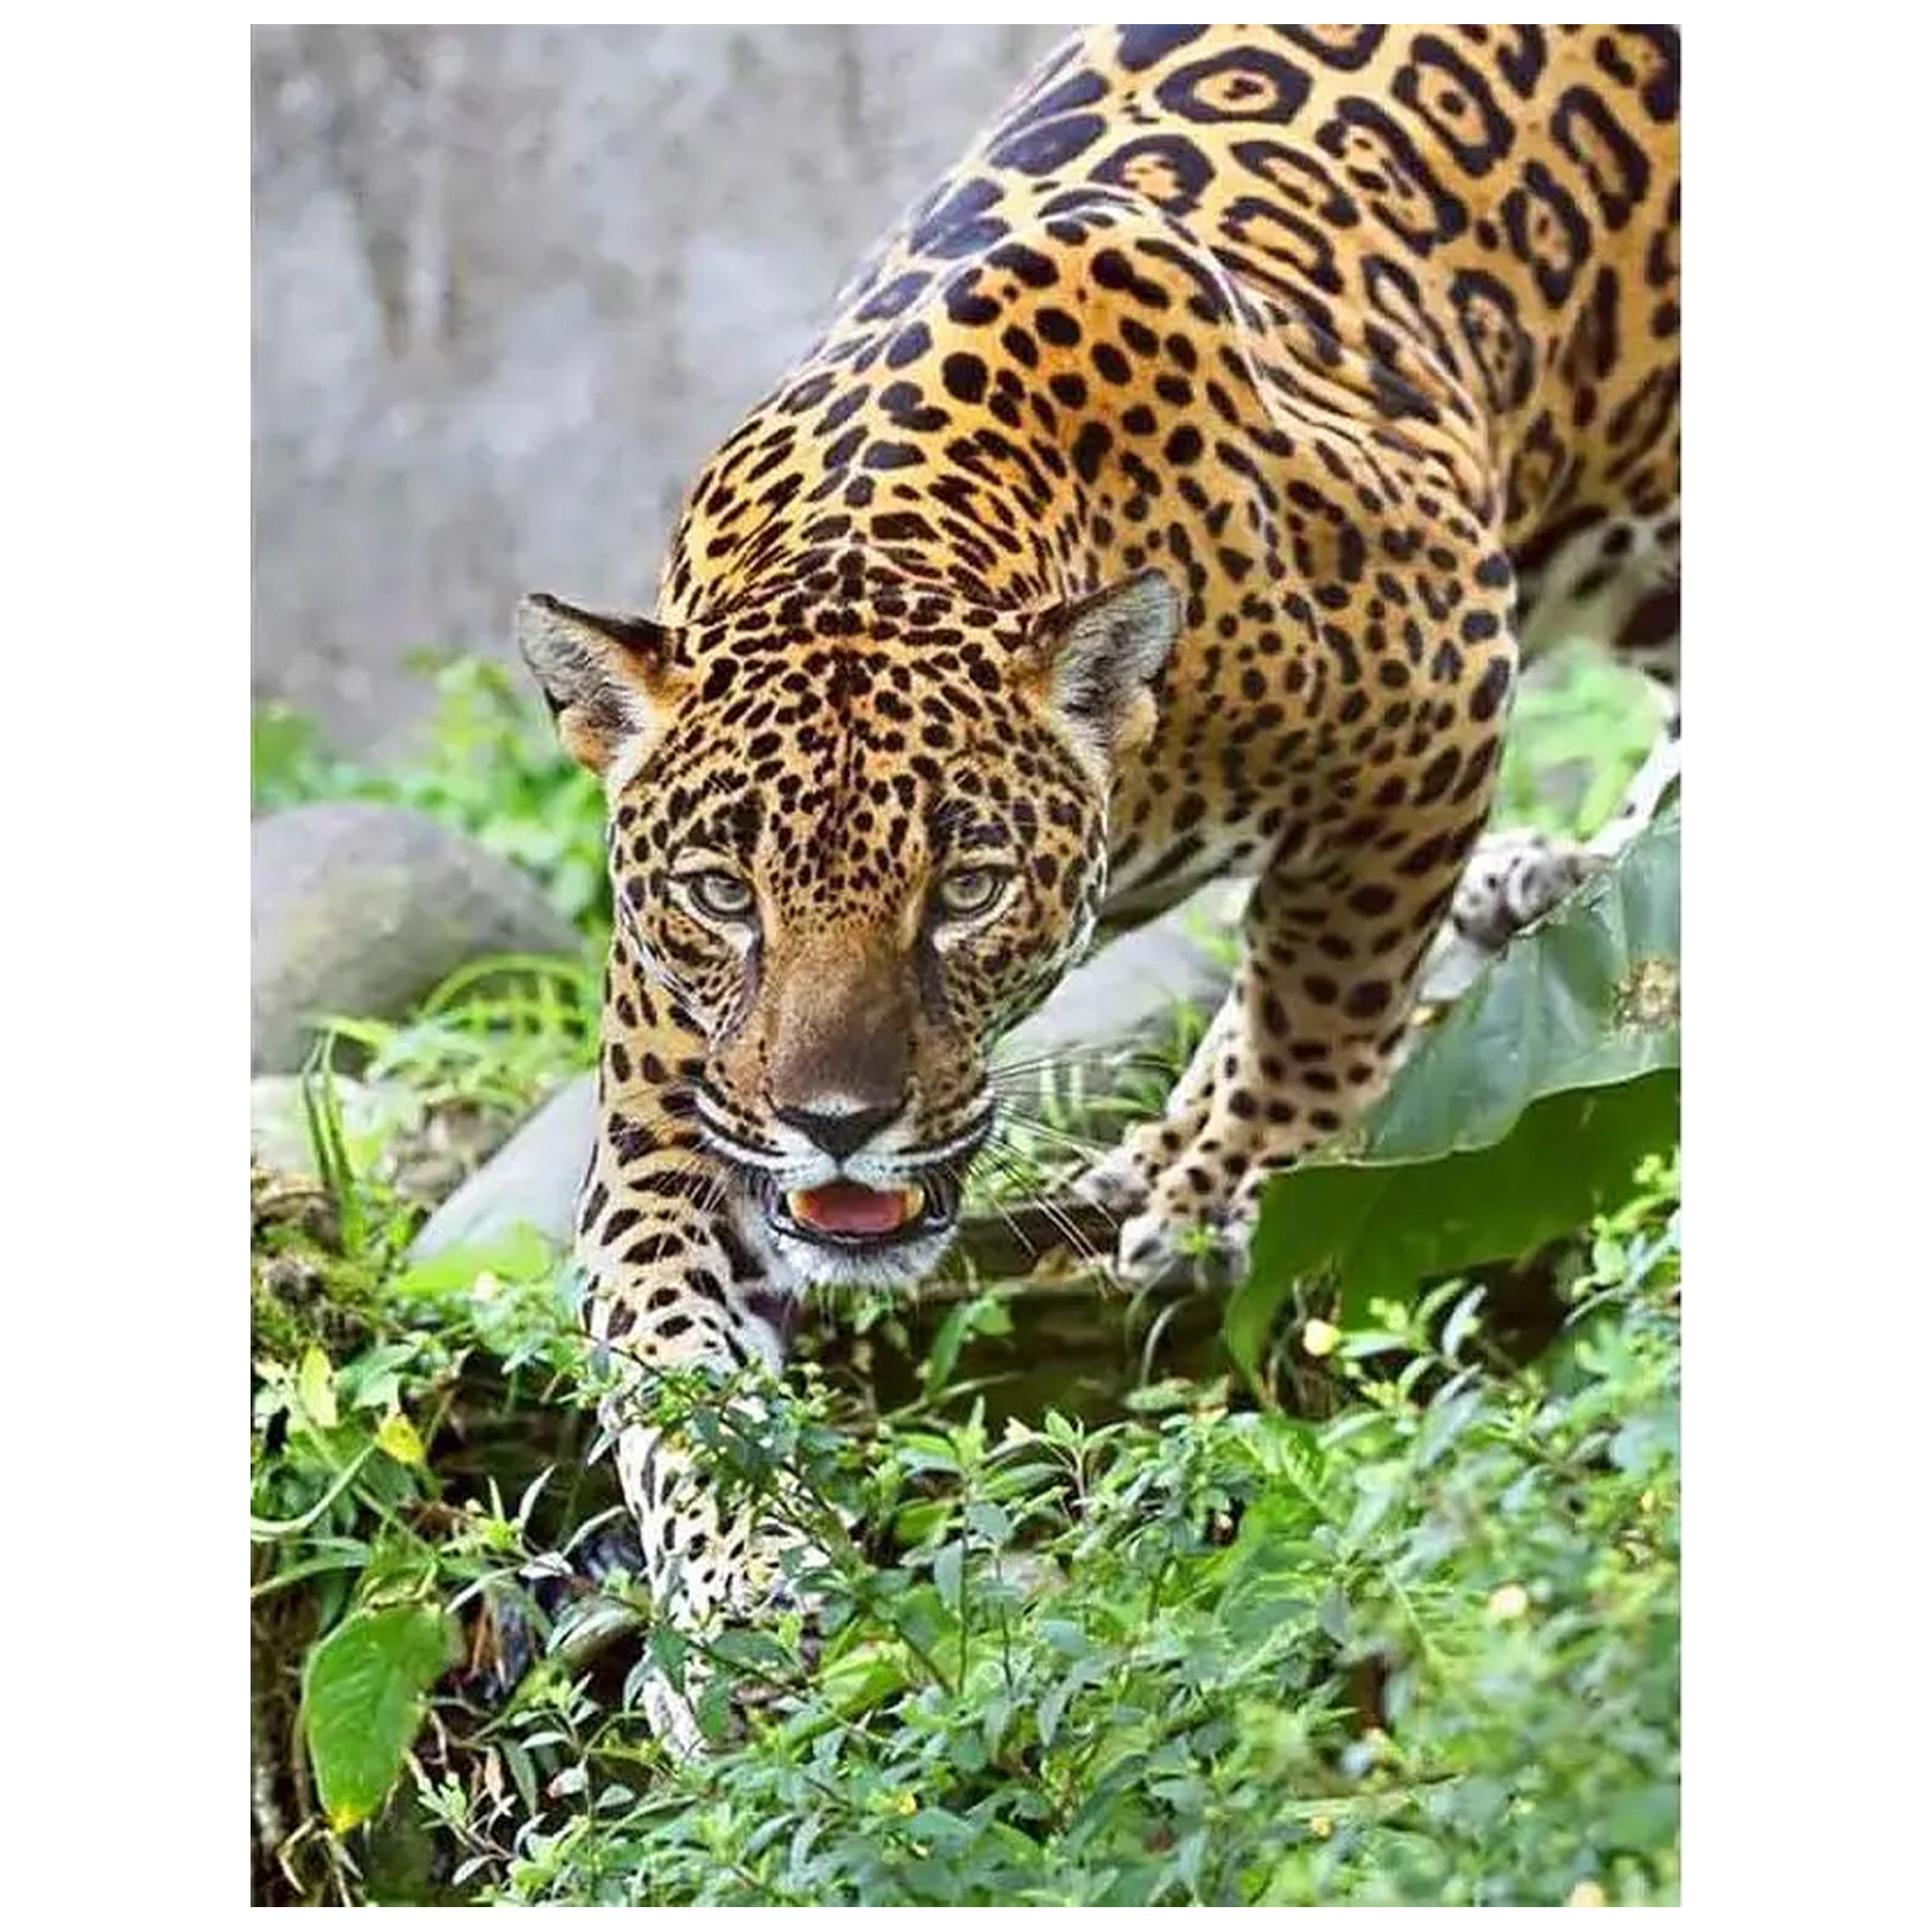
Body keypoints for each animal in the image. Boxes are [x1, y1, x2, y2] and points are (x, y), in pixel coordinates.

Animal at [516, 24, 1681, 1749]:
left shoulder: (1437, 675)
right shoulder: (681, 1098)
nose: (838, 1121)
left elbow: (1323, 984)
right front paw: (740, 1605)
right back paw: (1566, 876)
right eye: (723, 894)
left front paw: (1211, 1183)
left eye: (966, 886)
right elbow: (667, 1354)